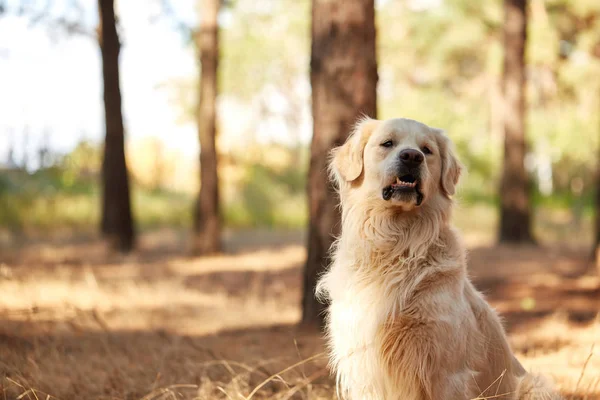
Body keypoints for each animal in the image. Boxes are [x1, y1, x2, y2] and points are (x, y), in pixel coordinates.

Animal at [316, 117, 560, 398]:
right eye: (387, 143)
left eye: (427, 150)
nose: (412, 157)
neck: (398, 243)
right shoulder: (363, 367)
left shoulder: (445, 371)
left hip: (535, 385)